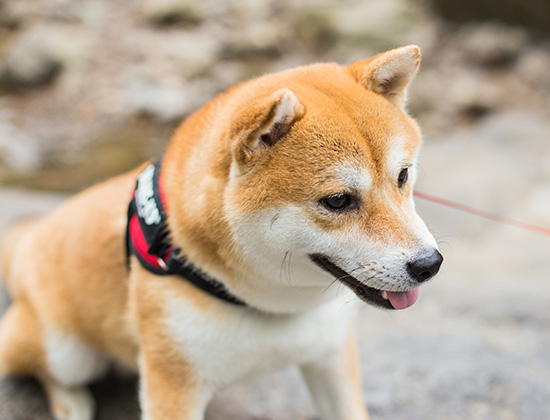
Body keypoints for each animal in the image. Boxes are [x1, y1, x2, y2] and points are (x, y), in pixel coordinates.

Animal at [0, 46, 442, 420]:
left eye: (402, 176)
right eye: (337, 200)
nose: (430, 264)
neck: (269, 305)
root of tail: (33, 236)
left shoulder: (330, 354)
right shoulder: (174, 384)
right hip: (63, 351)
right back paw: (71, 403)